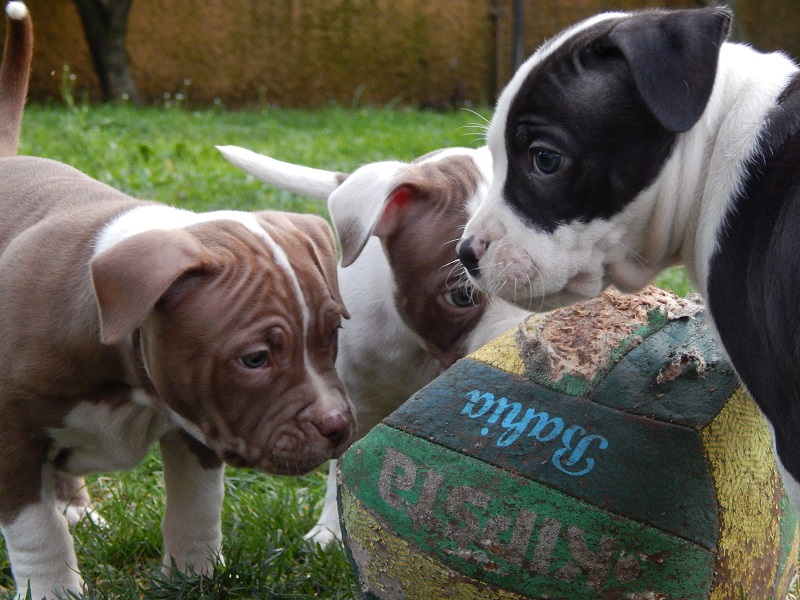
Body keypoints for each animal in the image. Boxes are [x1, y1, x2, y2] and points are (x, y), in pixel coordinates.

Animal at [0, 2, 354, 596]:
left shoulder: (199, 427)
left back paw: (76, 509)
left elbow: (196, 506)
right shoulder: (10, 437)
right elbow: (34, 531)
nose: (338, 427)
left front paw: (197, 574)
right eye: (255, 359)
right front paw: (51, 589)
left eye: (333, 335)